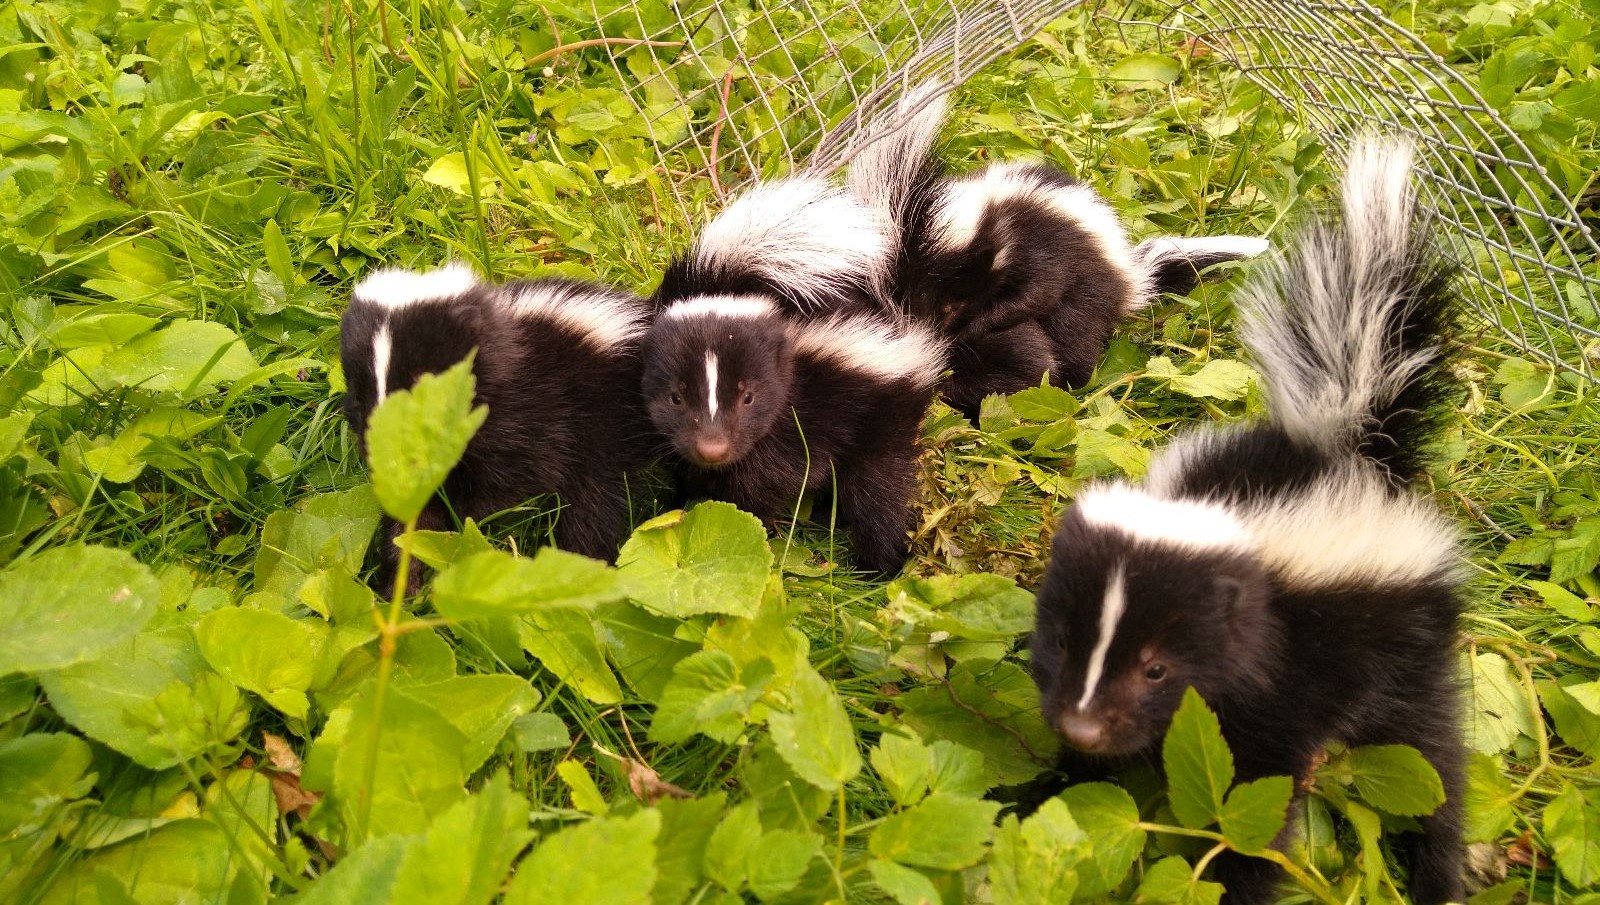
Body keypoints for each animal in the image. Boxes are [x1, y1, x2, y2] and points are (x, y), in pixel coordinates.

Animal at [340, 263, 652, 588]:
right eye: (360, 395)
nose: (388, 451)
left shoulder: (530, 416)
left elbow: (504, 484)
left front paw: (460, 533)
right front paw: (401, 581)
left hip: (604, 427)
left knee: (592, 506)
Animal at [636, 297, 934, 582]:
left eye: (748, 397)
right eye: (676, 397)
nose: (712, 449)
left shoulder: (788, 431)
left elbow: (759, 487)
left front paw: (745, 527)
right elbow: (685, 473)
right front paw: (673, 509)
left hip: (880, 421)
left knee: (878, 494)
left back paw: (874, 569)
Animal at [1030, 136, 1465, 905]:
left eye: (1157, 667)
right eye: (1059, 637)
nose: (1081, 728)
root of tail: (1350, 451)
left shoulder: (1283, 682)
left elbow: (1255, 805)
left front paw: (1240, 883)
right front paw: (1049, 790)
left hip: (1410, 645)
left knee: (1430, 756)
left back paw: (1440, 874)